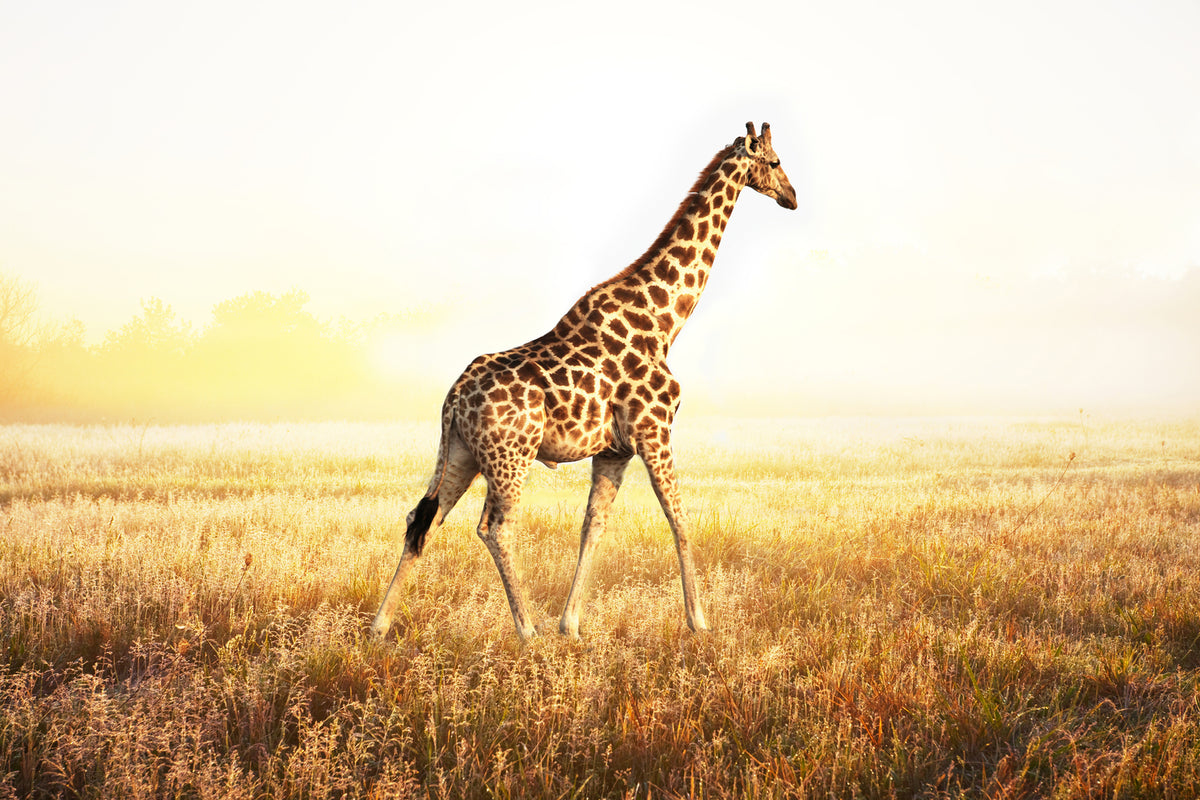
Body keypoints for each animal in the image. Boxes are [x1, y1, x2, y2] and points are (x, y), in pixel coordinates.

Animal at [372, 121, 797, 641]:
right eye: (775, 162)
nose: (792, 197)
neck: (665, 320)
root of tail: (453, 399)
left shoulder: (614, 450)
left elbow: (593, 525)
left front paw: (571, 624)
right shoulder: (655, 432)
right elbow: (678, 518)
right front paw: (700, 622)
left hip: (461, 453)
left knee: (422, 519)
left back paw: (379, 627)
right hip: (510, 457)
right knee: (494, 527)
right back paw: (526, 630)